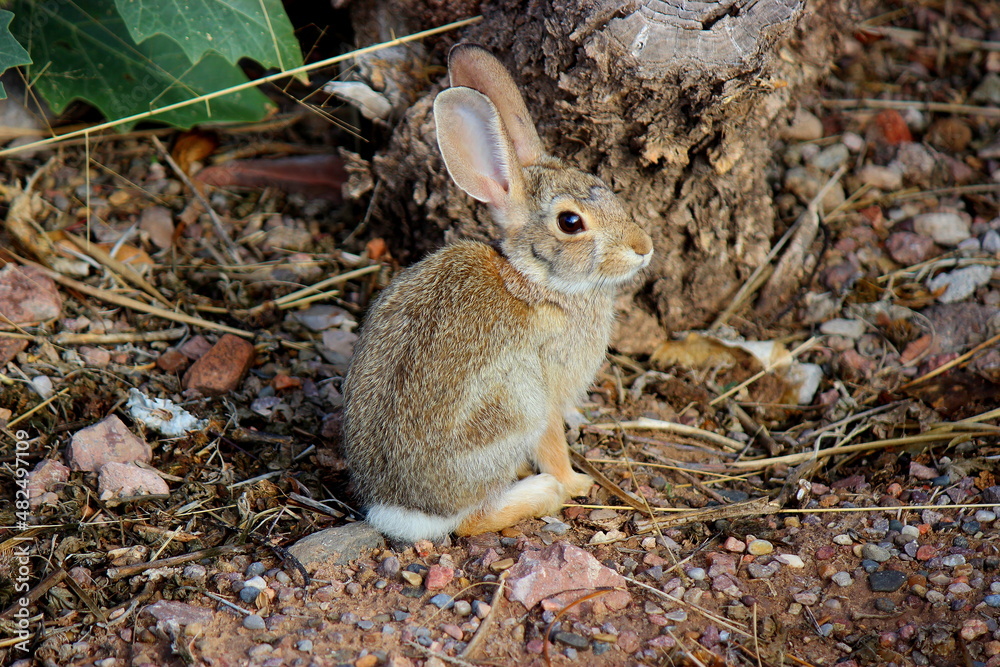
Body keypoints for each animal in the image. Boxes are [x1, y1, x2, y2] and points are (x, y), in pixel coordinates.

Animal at [342, 43, 653, 543]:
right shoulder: (548, 394)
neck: (536, 280)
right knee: (471, 520)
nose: (643, 248)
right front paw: (576, 482)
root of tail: (401, 511)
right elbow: (553, 444)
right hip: (514, 409)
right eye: (571, 222)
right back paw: (545, 492)